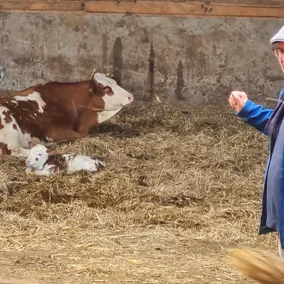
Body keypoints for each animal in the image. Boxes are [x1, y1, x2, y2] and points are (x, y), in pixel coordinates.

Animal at [0, 72, 134, 156]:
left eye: (115, 83)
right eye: (105, 88)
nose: (130, 96)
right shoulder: (53, 131)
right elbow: (82, 136)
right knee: (14, 150)